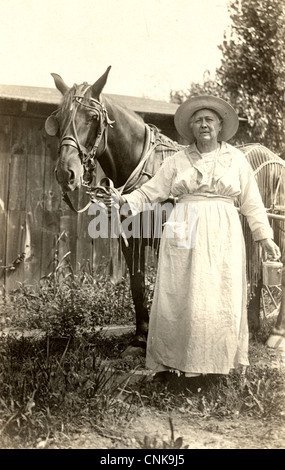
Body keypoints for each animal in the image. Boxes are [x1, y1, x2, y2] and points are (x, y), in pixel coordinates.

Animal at [44, 66, 284, 352]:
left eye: (92, 117)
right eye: (59, 118)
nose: (65, 173)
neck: (144, 166)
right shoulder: (131, 242)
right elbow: (137, 283)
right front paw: (140, 337)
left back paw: (277, 333)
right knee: (255, 271)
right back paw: (253, 324)